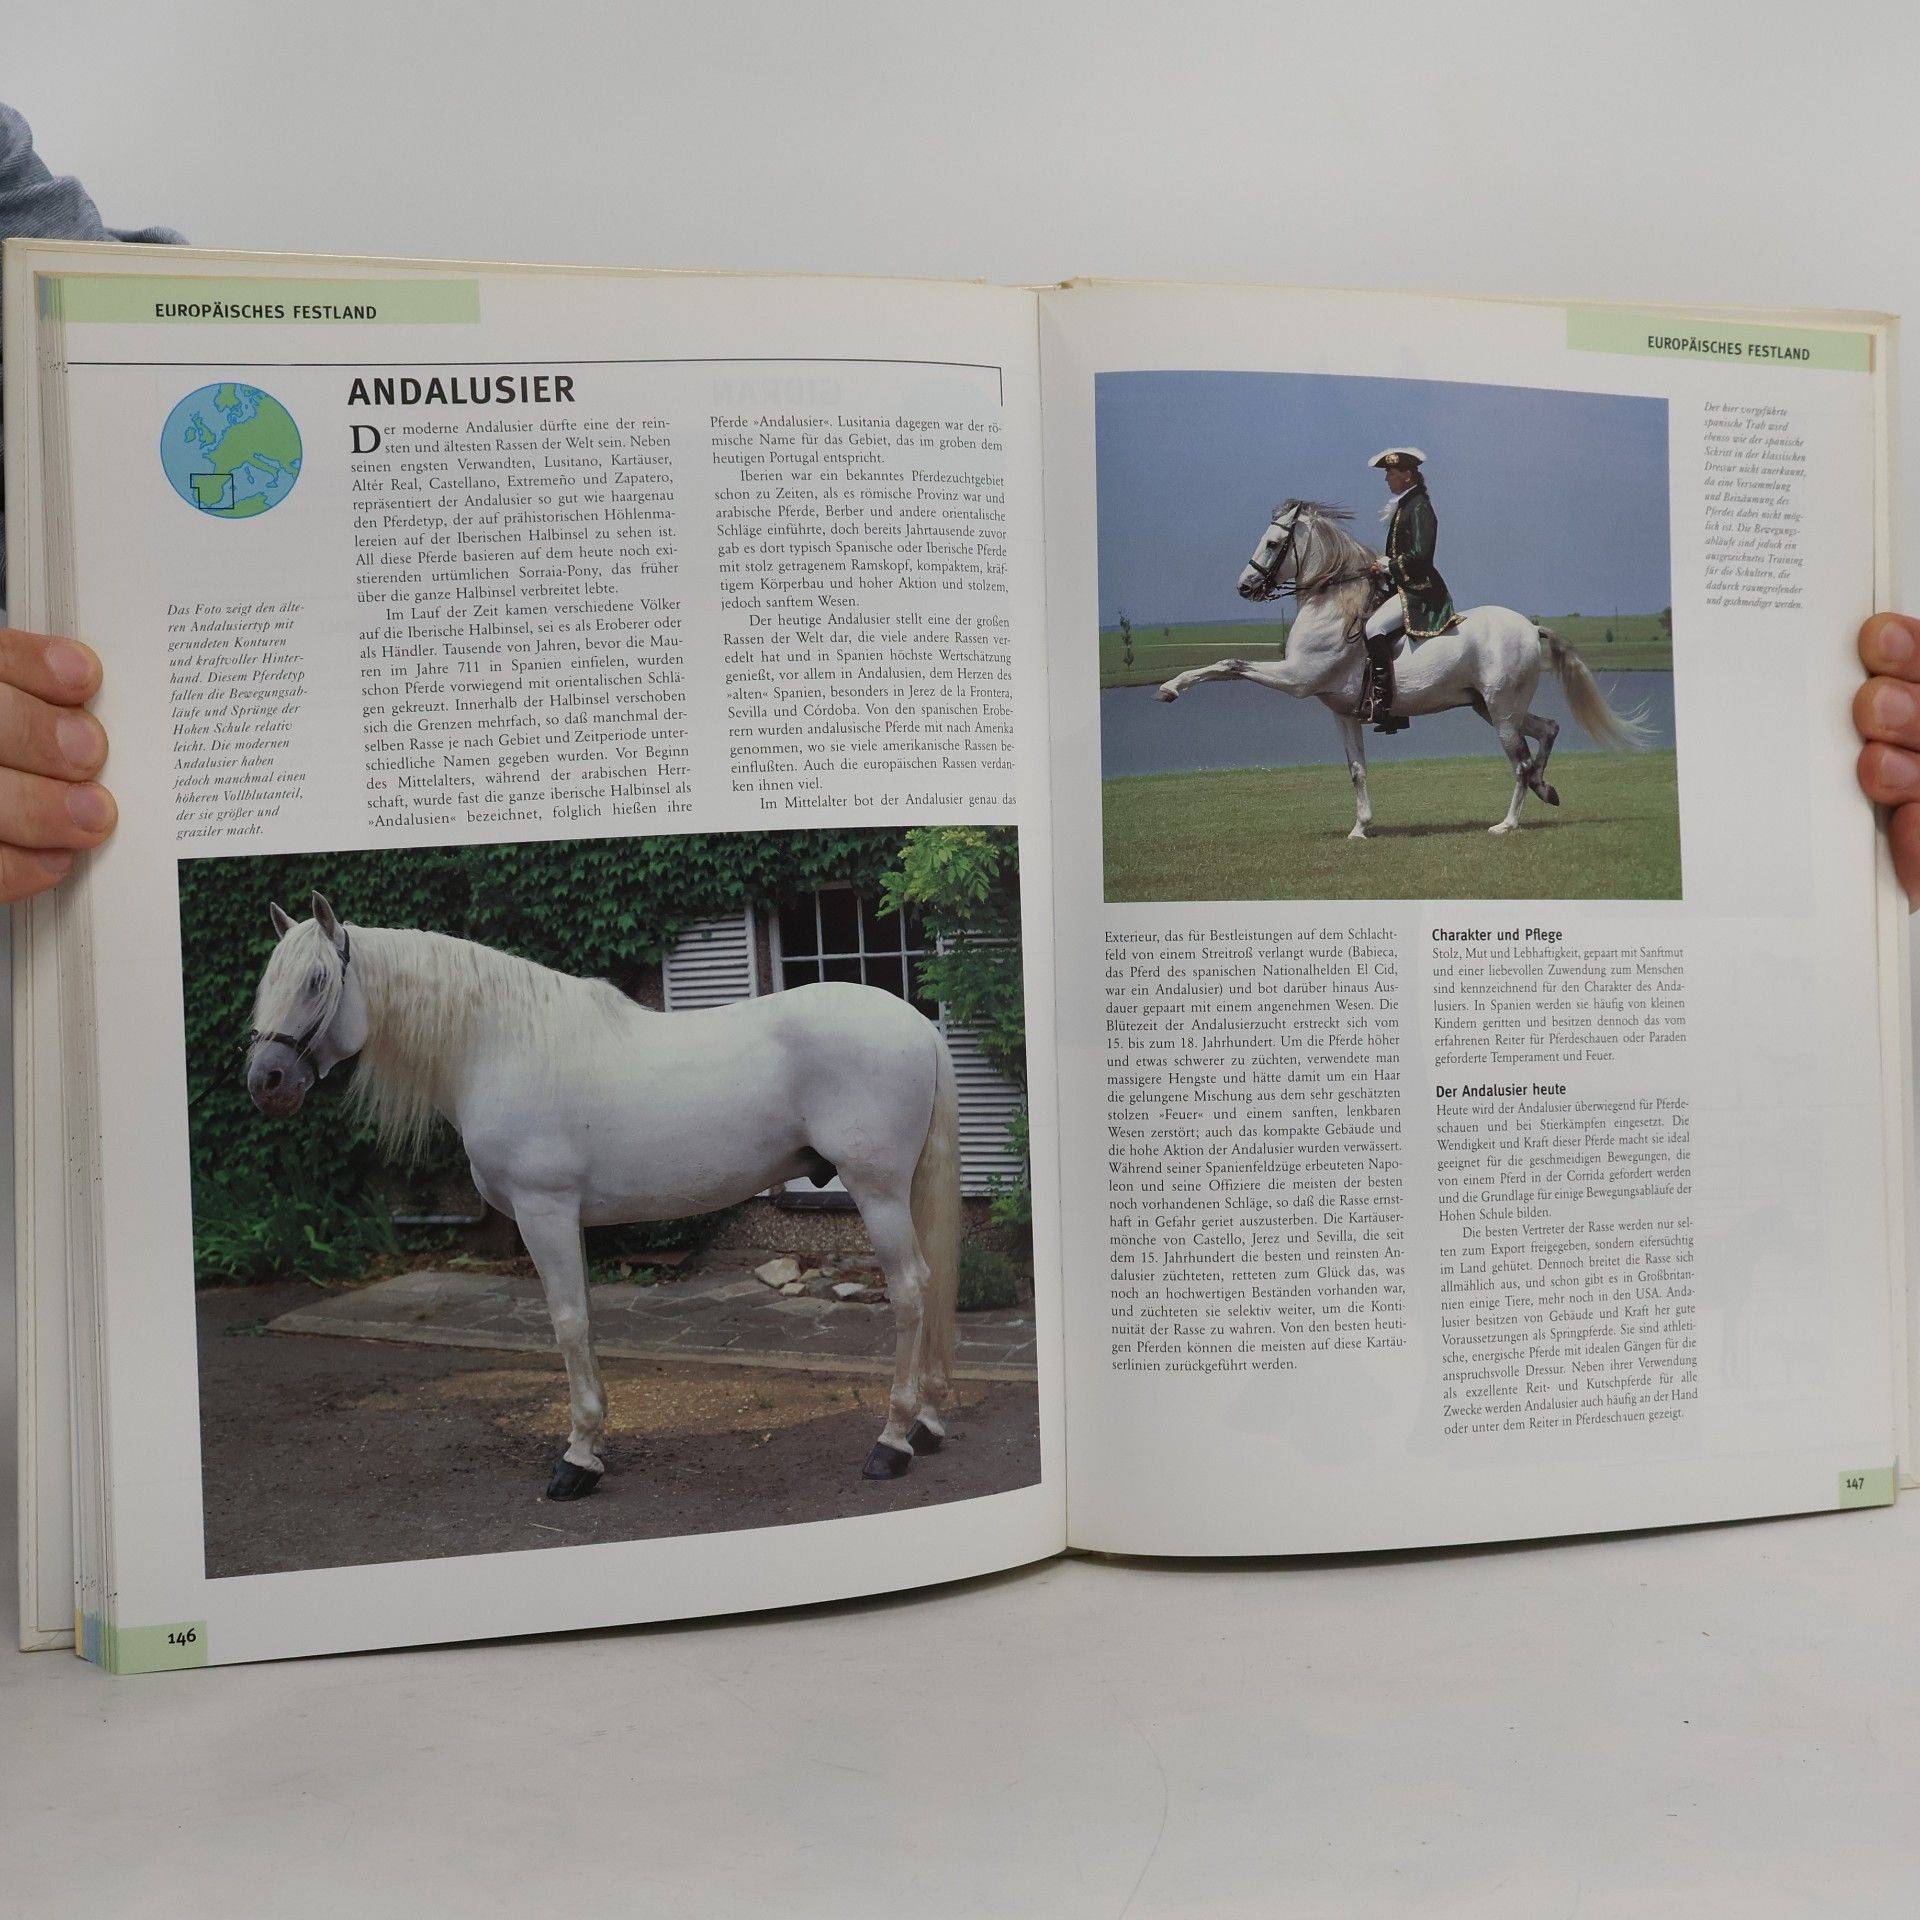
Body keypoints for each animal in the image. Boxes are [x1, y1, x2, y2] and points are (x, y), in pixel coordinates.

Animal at [242, 894, 960, 1497]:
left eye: (316, 982)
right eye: (267, 983)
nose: (265, 1081)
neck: (502, 1045)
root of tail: (916, 1024)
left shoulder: (545, 1211)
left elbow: (567, 1323)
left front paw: (577, 1459)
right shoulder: (569, 1221)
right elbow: (584, 1318)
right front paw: (593, 1442)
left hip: (876, 1192)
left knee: (909, 1291)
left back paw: (892, 1442)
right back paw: (926, 1423)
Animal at [1155, 500, 1651, 837]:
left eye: (1274, 543)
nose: (1244, 586)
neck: (1332, 606)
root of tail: (1530, 627)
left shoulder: (1296, 678)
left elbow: (1230, 663)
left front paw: (1170, 687)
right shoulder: (1342, 713)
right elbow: (1356, 770)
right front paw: (1360, 828)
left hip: (1501, 711)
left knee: (1520, 762)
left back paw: (1507, 824)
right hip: (1489, 706)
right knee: (1547, 730)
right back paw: (1546, 790)